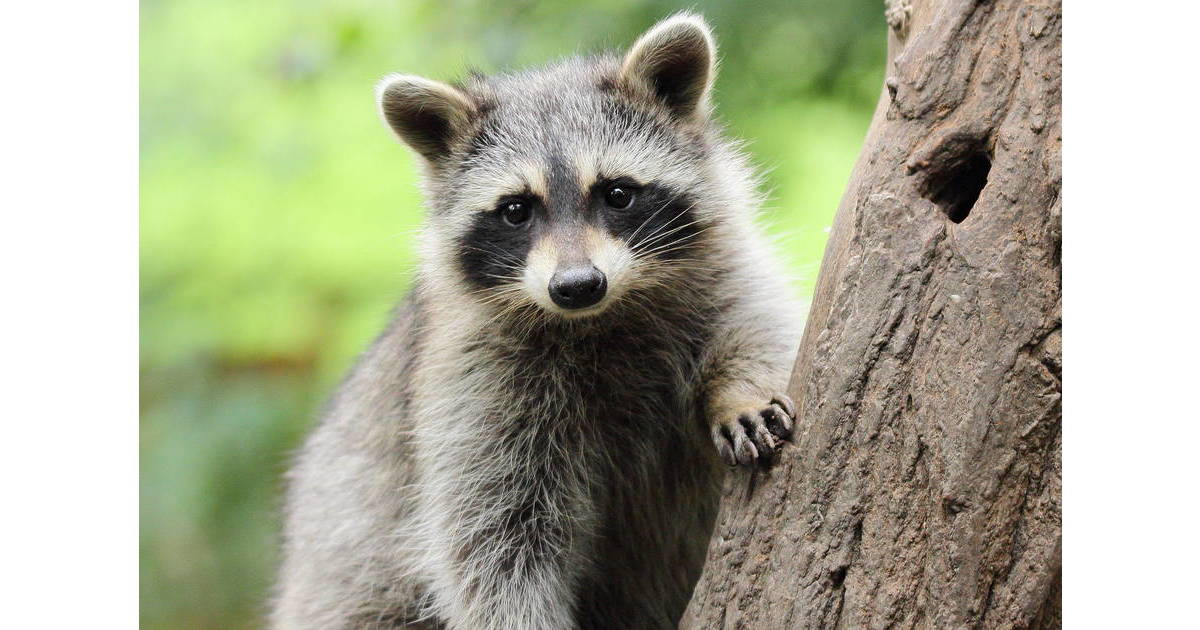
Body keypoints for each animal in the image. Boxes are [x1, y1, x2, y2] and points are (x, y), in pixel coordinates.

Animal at [272, 13, 801, 630]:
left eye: (617, 193)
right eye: (516, 210)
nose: (576, 285)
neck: (602, 317)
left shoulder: (722, 271)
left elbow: (760, 325)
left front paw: (740, 390)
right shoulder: (475, 384)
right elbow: (495, 539)